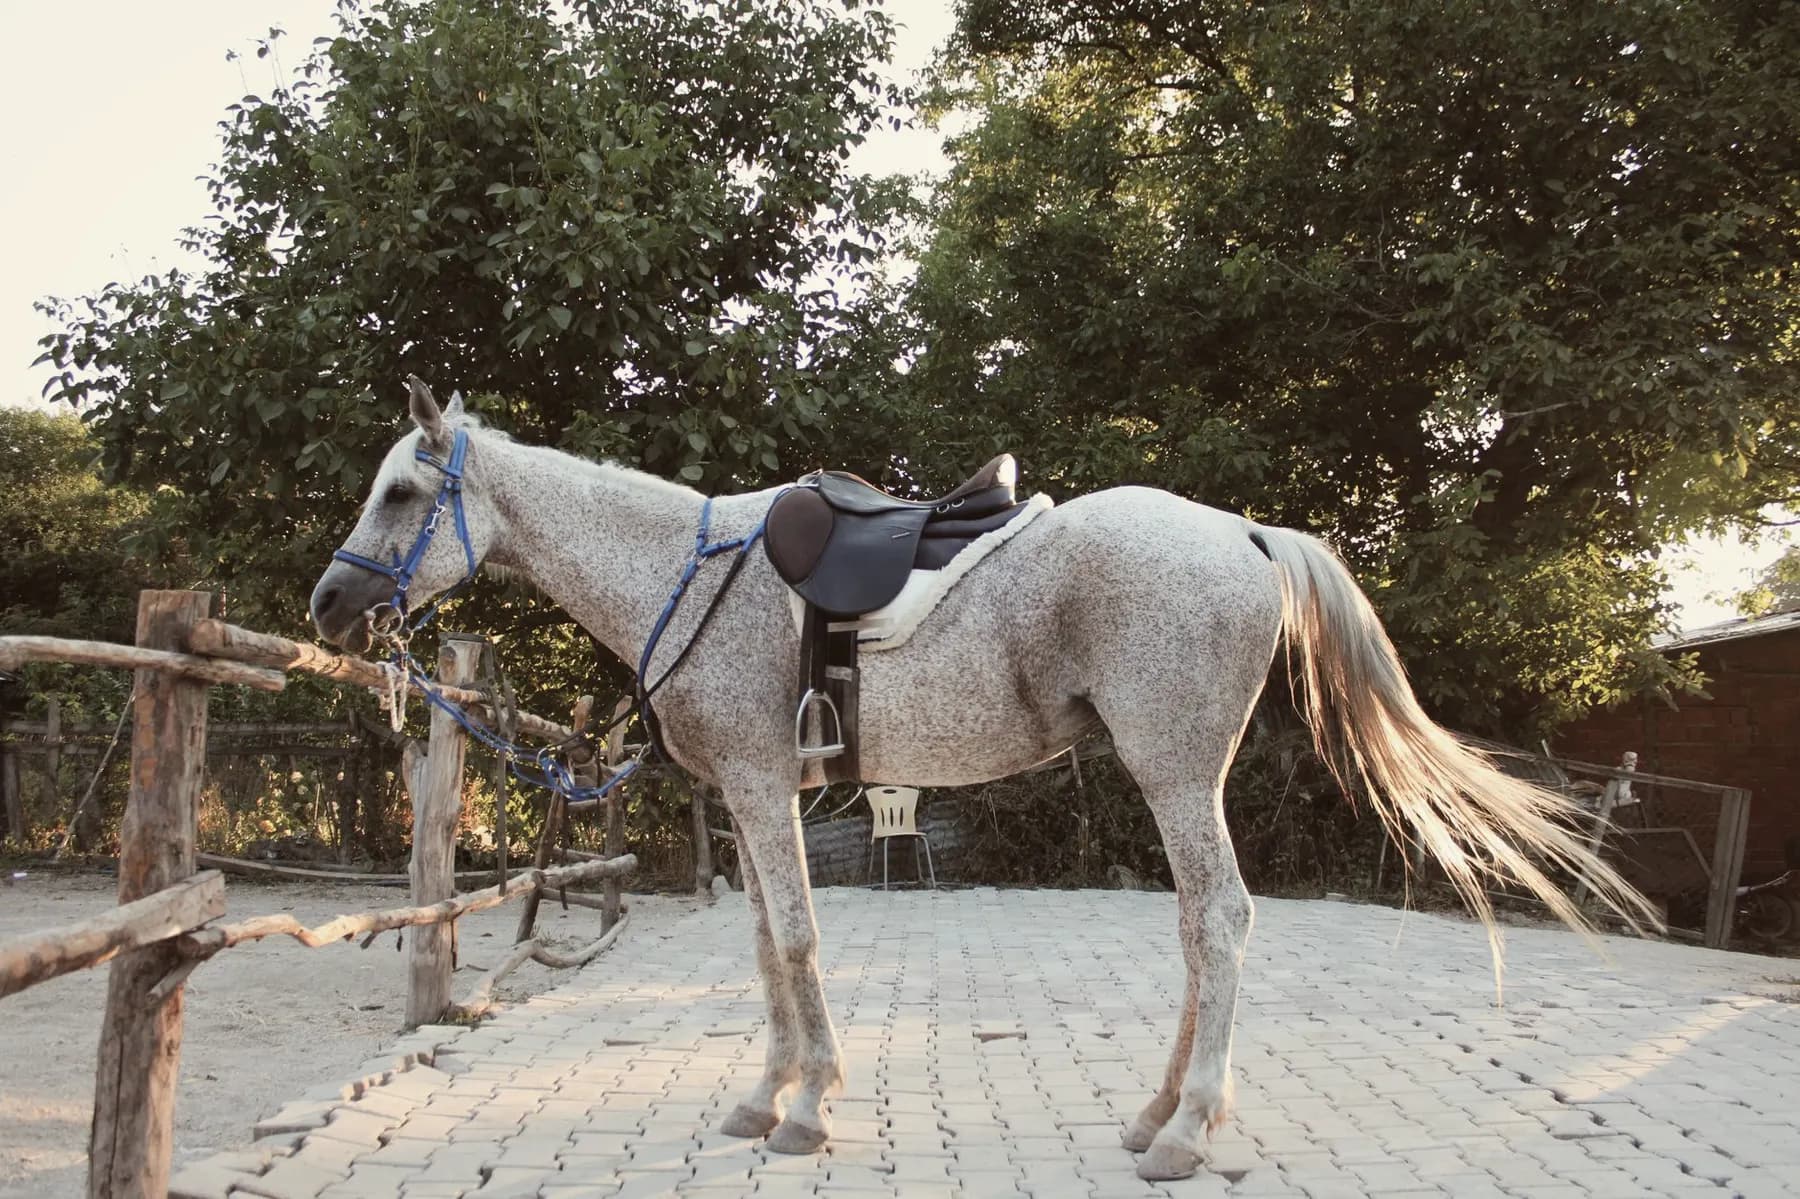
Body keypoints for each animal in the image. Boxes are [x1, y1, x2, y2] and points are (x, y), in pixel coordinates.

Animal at [308, 378, 1652, 1181]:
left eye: (404, 491)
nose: (326, 603)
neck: (683, 574)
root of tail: (1245, 531)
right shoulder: (753, 796)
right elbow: (767, 944)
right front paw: (766, 1095)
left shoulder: (758, 781)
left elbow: (795, 939)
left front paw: (808, 1105)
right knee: (1194, 924)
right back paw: (1156, 1110)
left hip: (1175, 771)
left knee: (1220, 918)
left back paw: (1184, 1128)